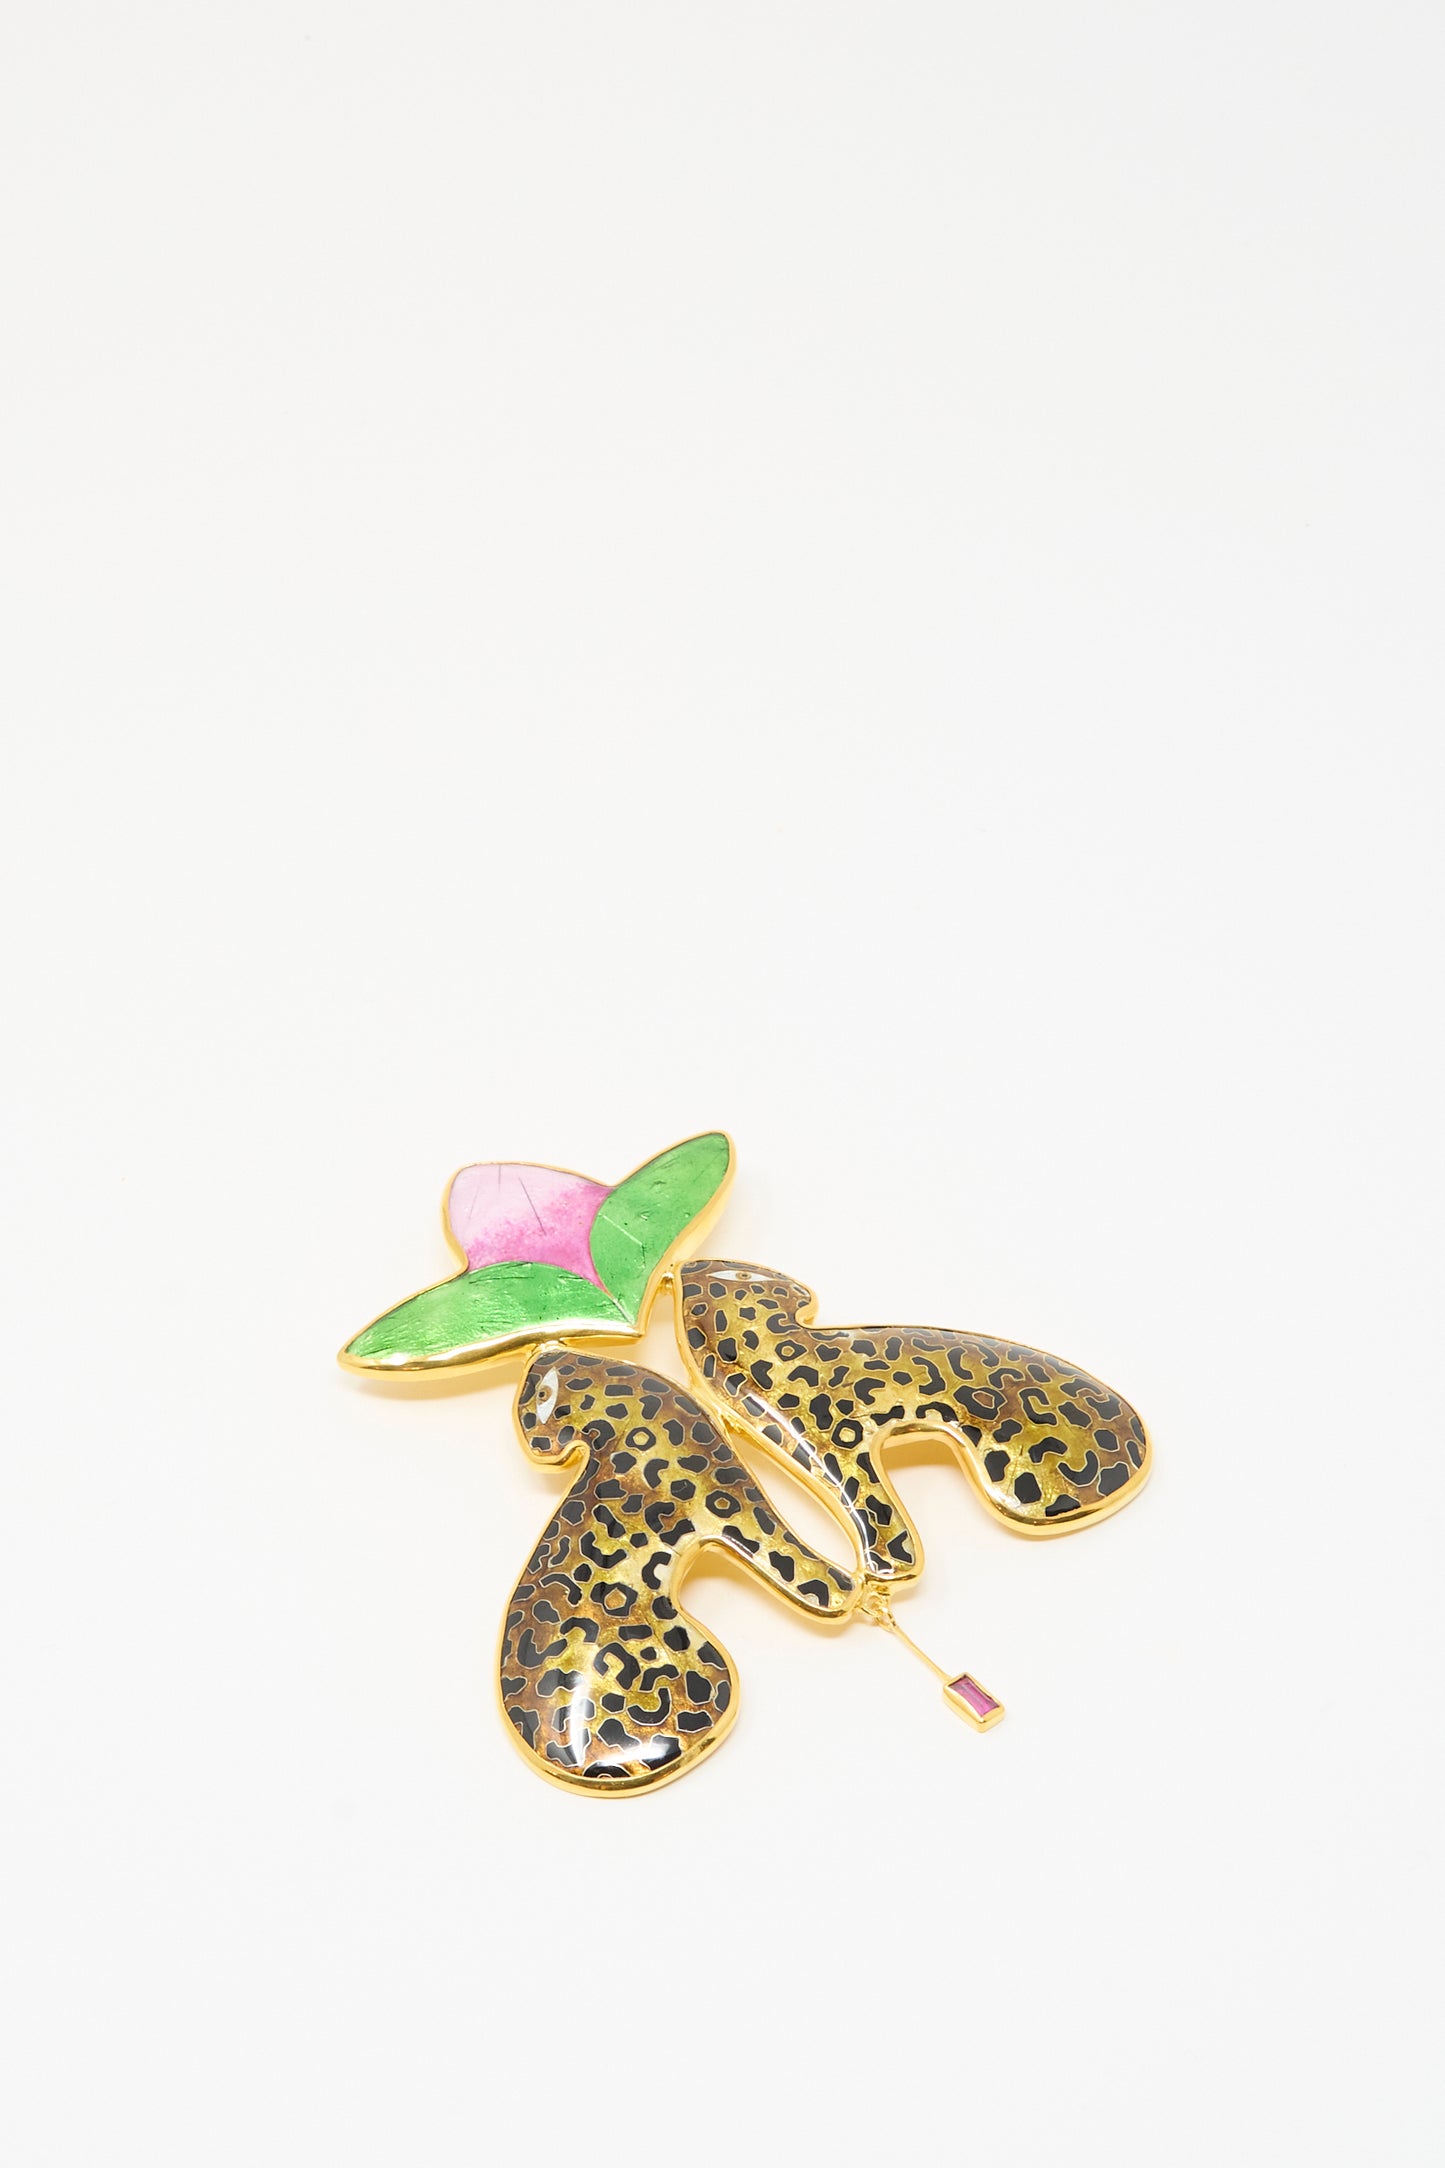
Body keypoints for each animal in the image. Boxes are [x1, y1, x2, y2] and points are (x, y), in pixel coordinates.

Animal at [499, 1341, 857, 1793]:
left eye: (537, 1404)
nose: (538, 1443)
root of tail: (580, 1753)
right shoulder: (731, 1507)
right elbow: (784, 1556)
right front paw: (847, 1589)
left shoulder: (730, 1499)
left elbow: (786, 1555)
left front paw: (849, 1588)